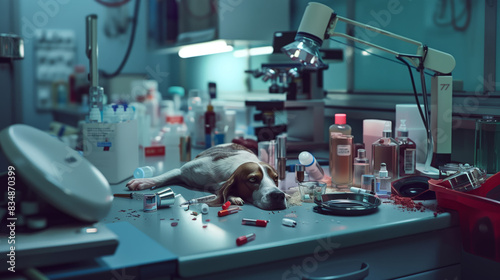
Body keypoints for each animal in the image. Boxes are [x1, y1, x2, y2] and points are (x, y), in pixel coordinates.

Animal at [127, 142, 288, 210]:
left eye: (276, 179)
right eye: (253, 179)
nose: (278, 196)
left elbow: (221, 192)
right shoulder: (182, 170)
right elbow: (162, 177)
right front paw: (142, 182)